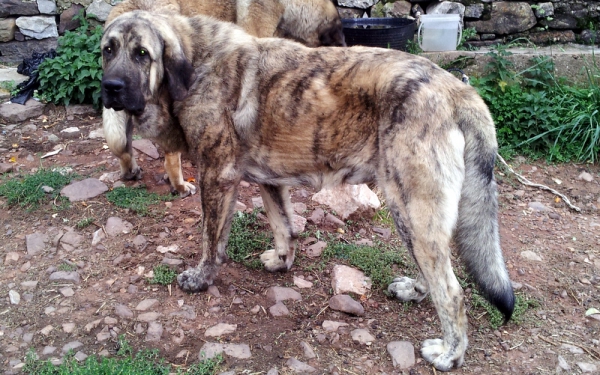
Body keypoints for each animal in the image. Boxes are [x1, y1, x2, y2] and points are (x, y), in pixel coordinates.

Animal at [102, 10, 516, 372]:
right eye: (108, 49)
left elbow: (211, 240)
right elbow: (282, 225)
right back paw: (415, 291)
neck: (196, 64)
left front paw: (201, 278)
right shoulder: (269, 179)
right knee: (436, 274)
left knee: (452, 292)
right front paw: (283, 261)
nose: (111, 88)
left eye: (142, 54)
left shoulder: (217, 177)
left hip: (411, 208)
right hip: (413, 215)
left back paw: (450, 354)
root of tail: (458, 91)